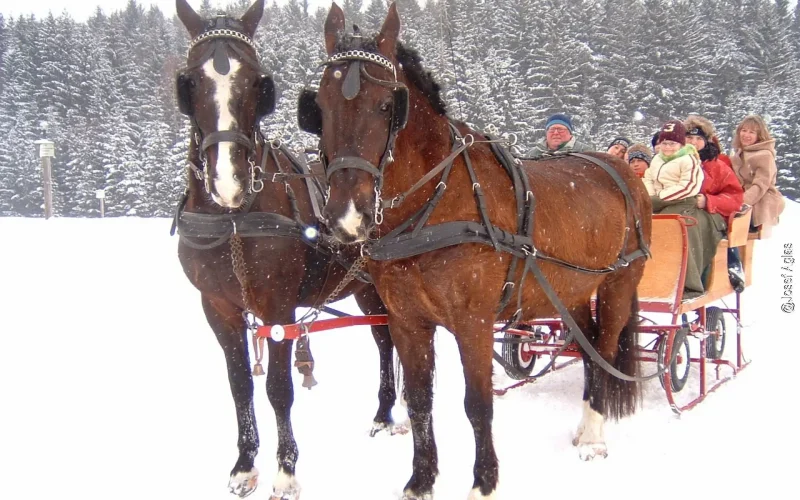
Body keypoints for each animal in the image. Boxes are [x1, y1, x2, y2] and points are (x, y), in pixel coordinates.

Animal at [174, 1, 400, 498]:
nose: (228, 181)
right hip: (365, 288)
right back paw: (383, 413)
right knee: (383, 339)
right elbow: (240, 384)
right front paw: (244, 464)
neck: (235, 219)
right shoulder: (217, 307)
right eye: (190, 82)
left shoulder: (278, 306)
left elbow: (279, 388)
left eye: (259, 83)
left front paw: (286, 469)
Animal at [304, 1, 652, 498]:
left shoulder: (473, 321)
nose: (346, 216)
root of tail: (619, 167)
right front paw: (420, 479)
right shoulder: (406, 321)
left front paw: (484, 481)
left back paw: (594, 438)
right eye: (319, 107)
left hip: (619, 283)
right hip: (569, 291)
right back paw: (583, 426)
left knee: (603, 350)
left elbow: (477, 404)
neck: (431, 208)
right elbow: (419, 400)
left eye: (387, 105)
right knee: (586, 349)